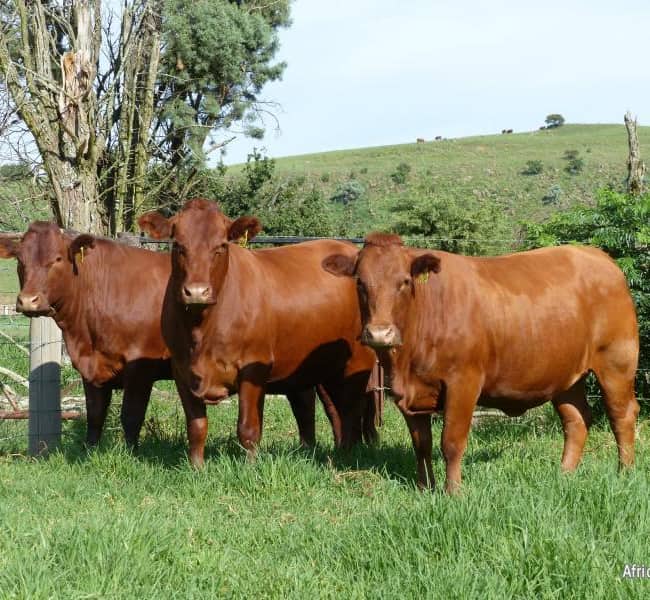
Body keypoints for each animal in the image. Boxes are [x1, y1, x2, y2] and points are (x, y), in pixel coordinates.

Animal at [0, 222, 340, 449]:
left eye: (57, 259)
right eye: (20, 260)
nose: (28, 301)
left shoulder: (140, 366)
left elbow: (131, 415)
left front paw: (130, 454)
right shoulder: (91, 368)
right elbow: (95, 415)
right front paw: (90, 451)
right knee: (304, 403)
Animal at [138, 199, 377, 467]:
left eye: (221, 246)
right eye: (178, 245)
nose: (197, 292)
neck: (201, 330)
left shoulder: (253, 367)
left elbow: (248, 427)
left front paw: (250, 466)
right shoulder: (181, 370)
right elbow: (196, 426)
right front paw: (196, 467)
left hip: (358, 361)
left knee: (351, 411)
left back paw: (348, 454)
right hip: (323, 366)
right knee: (335, 411)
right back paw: (339, 452)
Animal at [322, 233, 640, 493]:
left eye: (405, 281)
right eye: (360, 282)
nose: (379, 332)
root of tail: (597, 256)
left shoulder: (463, 383)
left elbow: (451, 442)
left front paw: (453, 492)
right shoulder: (407, 393)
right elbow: (421, 444)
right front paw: (425, 489)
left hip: (616, 364)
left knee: (621, 415)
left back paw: (624, 473)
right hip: (566, 376)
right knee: (576, 420)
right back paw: (565, 475)